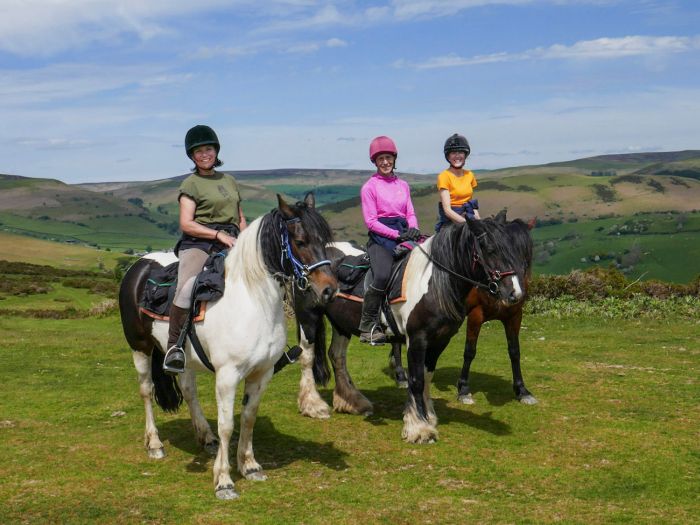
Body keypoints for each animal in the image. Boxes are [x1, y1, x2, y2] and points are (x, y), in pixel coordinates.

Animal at [119, 194, 338, 498]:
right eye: (300, 241)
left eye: (325, 240)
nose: (329, 289)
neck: (252, 300)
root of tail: (138, 267)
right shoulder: (227, 376)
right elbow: (227, 425)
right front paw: (223, 480)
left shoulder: (261, 374)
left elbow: (248, 418)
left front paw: (250, 466)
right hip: (140, 347)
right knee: (146, 391)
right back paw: (154, 444)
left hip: (183, 356)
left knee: (188, 390)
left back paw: (205, 437)